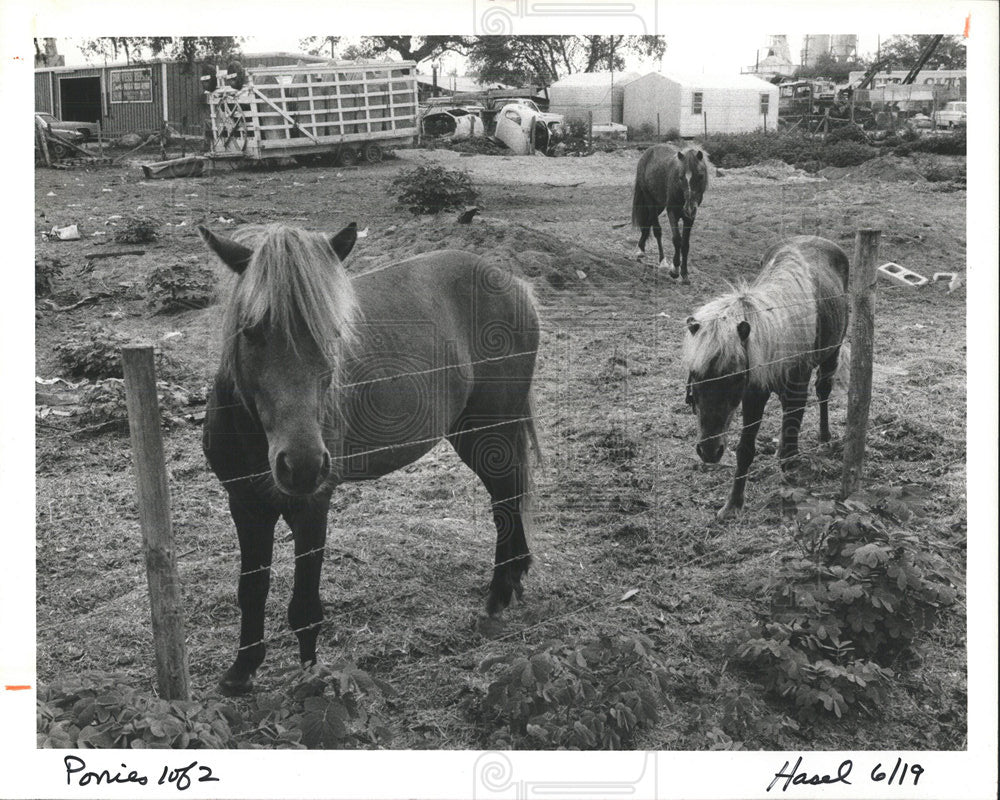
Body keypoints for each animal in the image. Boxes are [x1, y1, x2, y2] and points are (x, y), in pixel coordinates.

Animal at [201, 220, 540, 692]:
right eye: (250, 331)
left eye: (333, 334)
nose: (302, 465)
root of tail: (509, 281)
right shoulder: (245, 505)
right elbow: (251, 590)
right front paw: (242, 669)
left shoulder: (311, 508)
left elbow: (304, 607)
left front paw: (311, 679)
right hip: (474, 435)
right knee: (506, 496)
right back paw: (514, 577)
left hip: (491, 431)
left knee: (505, 500)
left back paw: (497, 598)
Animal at [628, 144, 708, 284]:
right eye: (681, 177)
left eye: (700, 176)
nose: (689, 208)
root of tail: (649, 151)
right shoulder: (672, 213)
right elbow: (677, 240)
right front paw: (674, 270)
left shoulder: (690, 218)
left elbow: (685, 244)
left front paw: (685, 275)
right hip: (650, 201)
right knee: (656, 230)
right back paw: (662, 261)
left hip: (659, 204)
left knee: (648, 223)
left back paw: (640, 249)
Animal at [680, 234, 844, 520]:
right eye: (695, 375)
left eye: (735, 378)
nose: (709, 452)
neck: (780, 334)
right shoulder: (754, 395)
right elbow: (745, 449)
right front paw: (732, 505)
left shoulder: (796, 390)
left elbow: (790, 443)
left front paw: (791, 482)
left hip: (831, 354)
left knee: (824, 391)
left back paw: (824, 437)